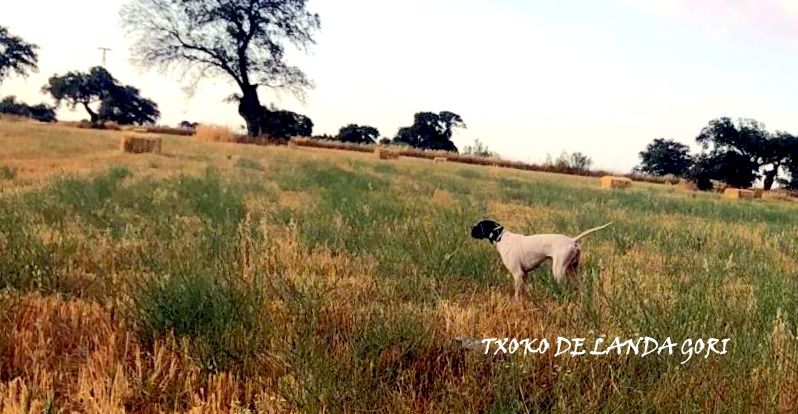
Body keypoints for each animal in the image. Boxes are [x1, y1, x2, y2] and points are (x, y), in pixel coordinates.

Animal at [472, 218, 616, 300]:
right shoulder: (524, 275)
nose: (470, 229)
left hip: (559, 271)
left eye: (479, 226)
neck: (501, 238)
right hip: (573, 271)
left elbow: (517, 294)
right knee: (582, 287)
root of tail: (572, 240)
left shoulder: (518, 274)